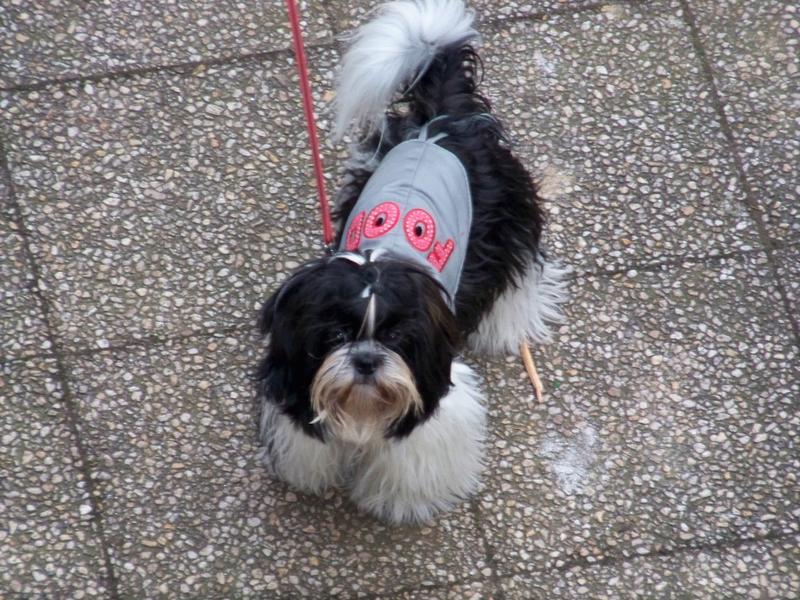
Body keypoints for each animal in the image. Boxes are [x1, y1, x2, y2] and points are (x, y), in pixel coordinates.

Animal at [256, 0, 568, 524]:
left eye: (397, 339)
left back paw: (506, 325)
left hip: (508, 219)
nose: (366, 360)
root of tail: (441, 122)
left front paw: (400, 502)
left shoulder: (437, 390)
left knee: (518, 273)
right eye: (335, 336)